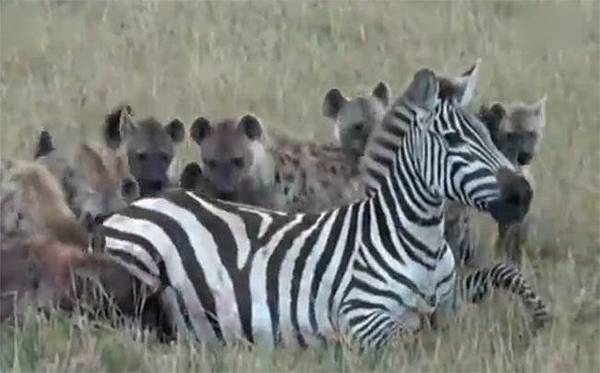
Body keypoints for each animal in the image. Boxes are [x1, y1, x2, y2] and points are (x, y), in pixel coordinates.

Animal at [94, 65, 548, 348]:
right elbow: (410, 338)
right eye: (454, 140)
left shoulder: (452, 294)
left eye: (488, 134)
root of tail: (129, 208)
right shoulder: (364, 320)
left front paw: (539, 320)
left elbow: (505, 274)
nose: (522, 194)